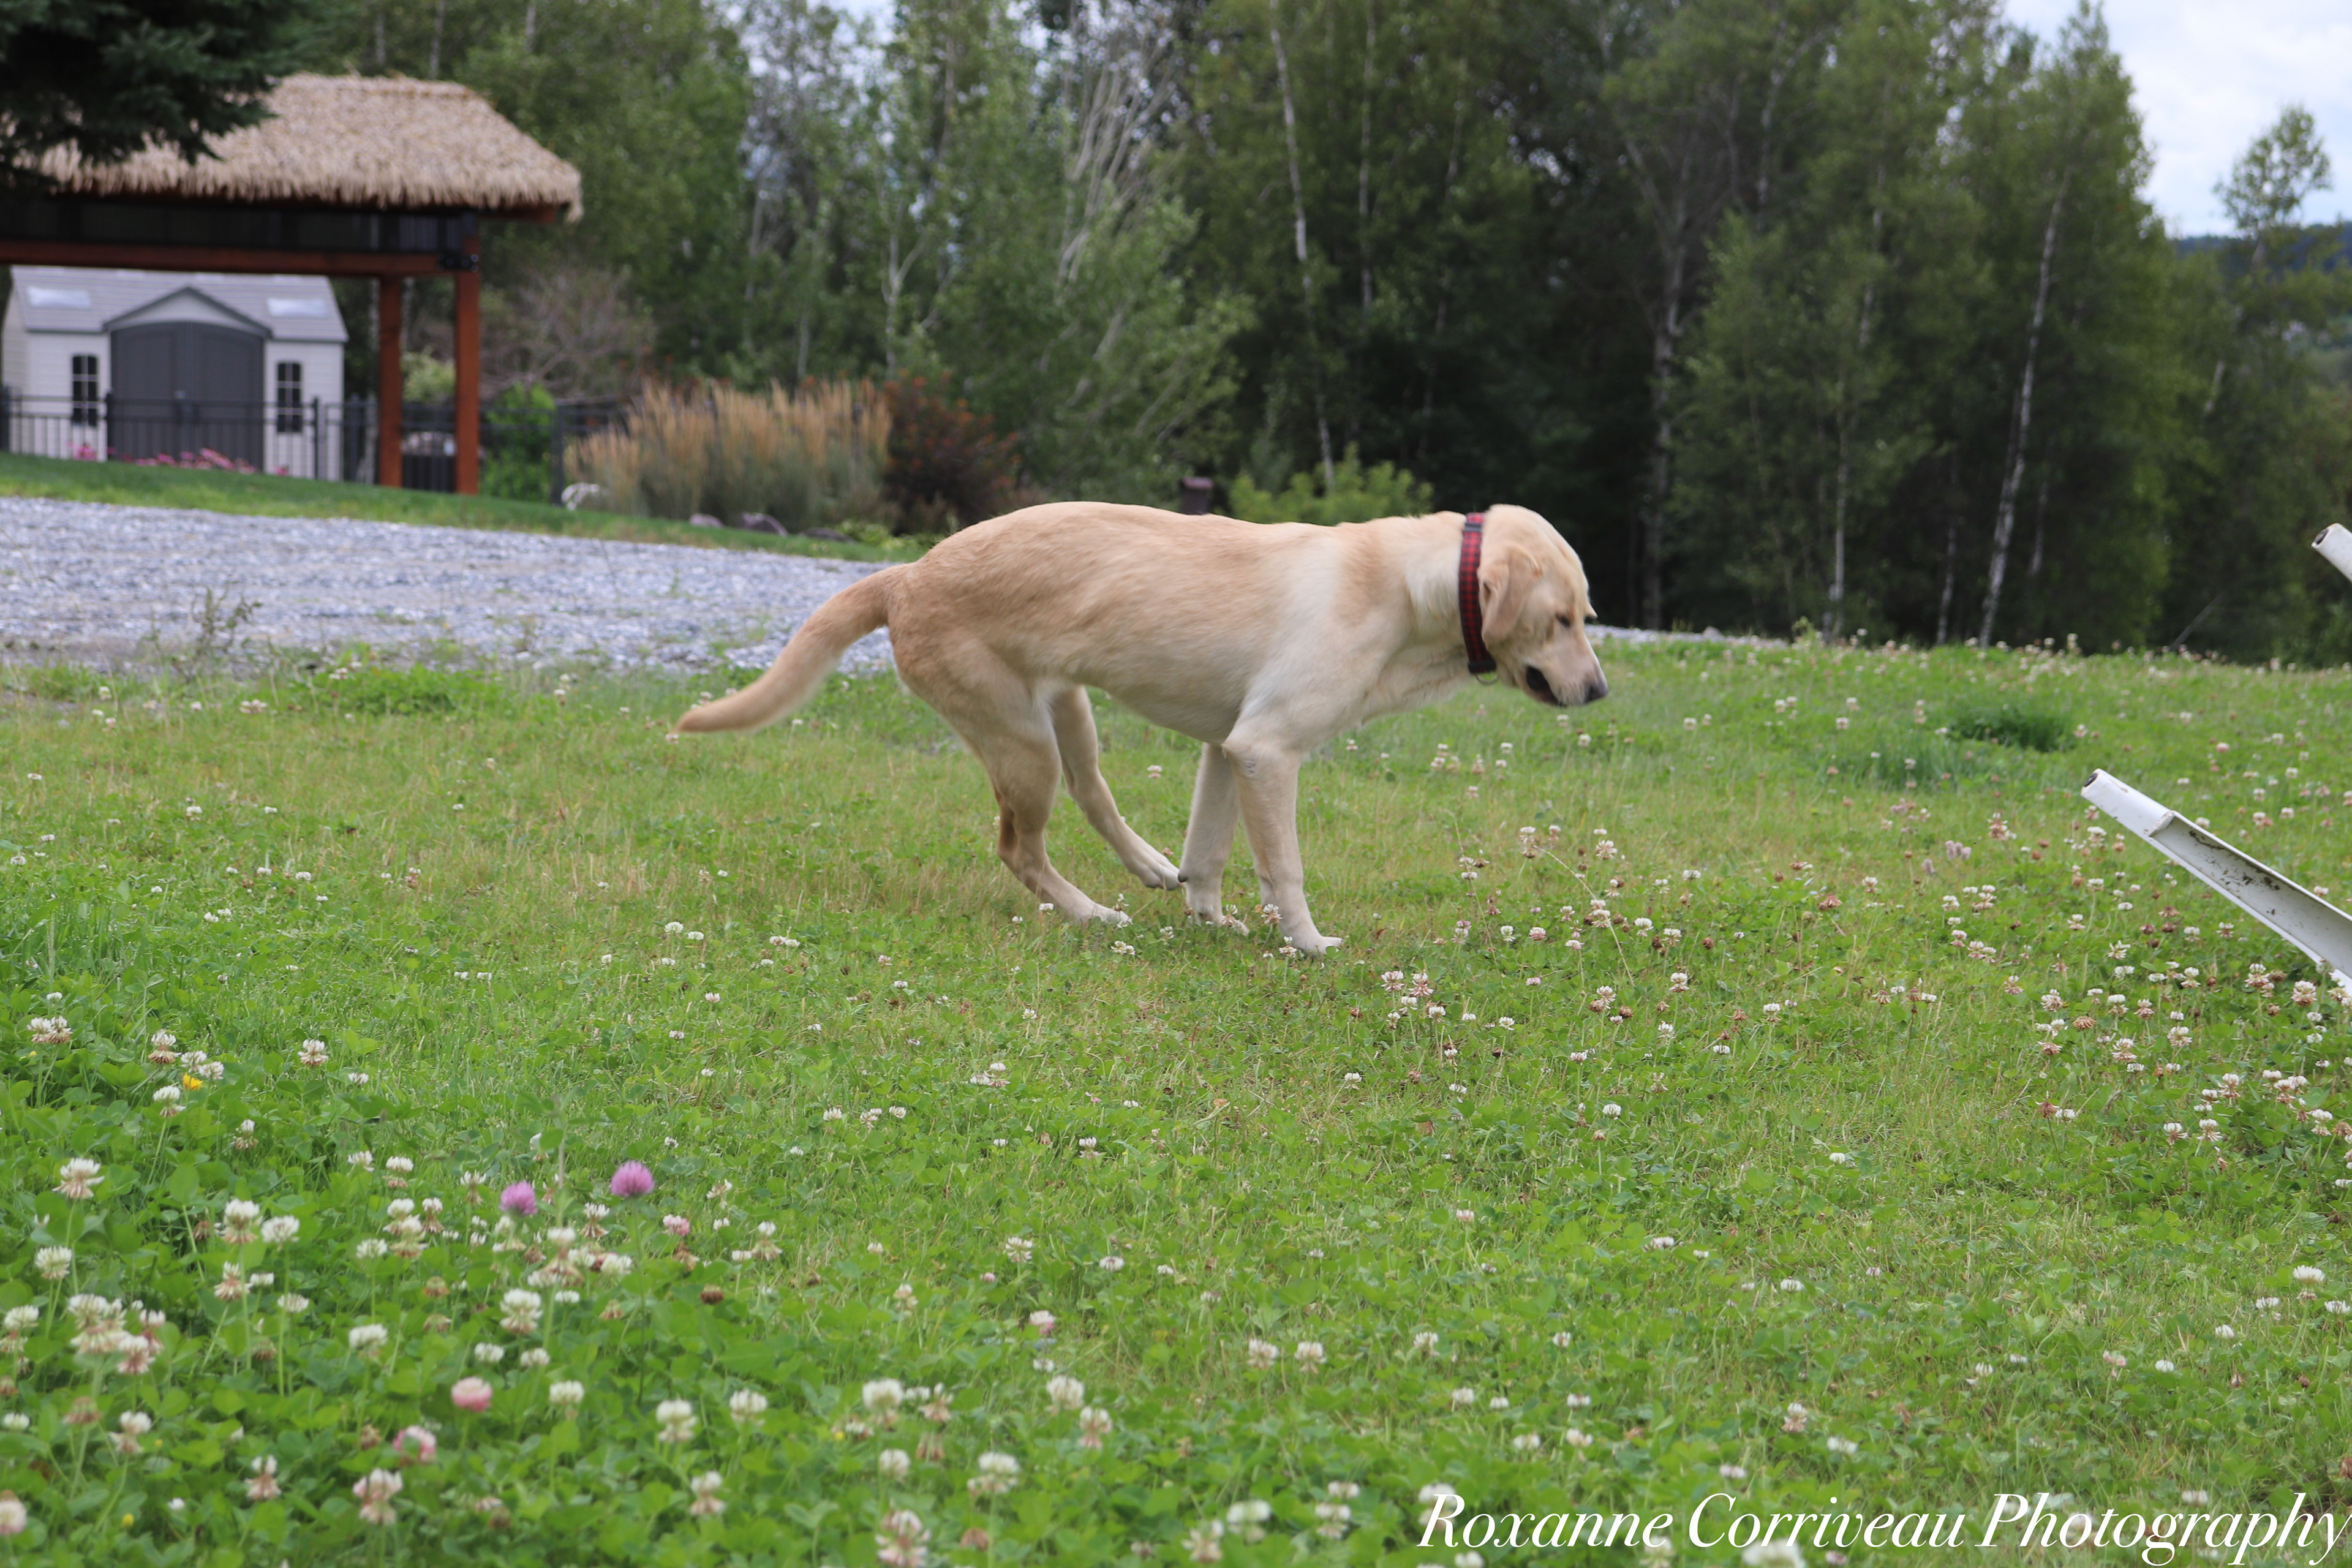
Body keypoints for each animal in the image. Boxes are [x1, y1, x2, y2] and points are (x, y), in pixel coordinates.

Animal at [674, 502, 1606, 954]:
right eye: (1561, 619)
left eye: (1588, 615)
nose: (1599, 690)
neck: (1410, 586)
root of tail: (905, 575)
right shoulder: (1270, 752)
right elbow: (1286, 869)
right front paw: (1307, 944)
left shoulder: (1228, 750)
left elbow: (1214, 854)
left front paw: (1209, 918)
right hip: (1021, 741)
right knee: (1019, 848)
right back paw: (1092, 915)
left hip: (1064, 716)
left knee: (1094, 798)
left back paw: (1150, 868)